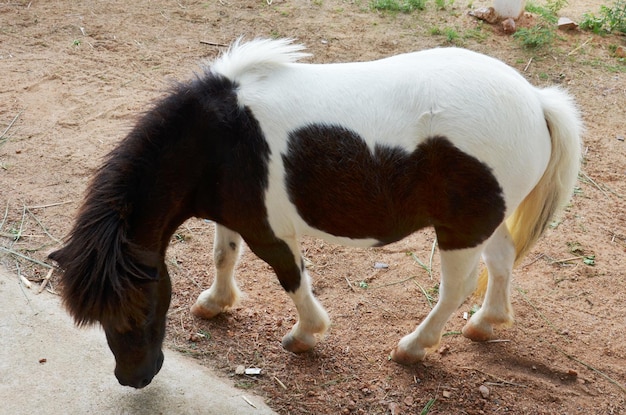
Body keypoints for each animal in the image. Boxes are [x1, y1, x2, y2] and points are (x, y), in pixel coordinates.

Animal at [48, 38, 580, 390]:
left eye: (138, 309)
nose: (133, 378)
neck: (218, 139)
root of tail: (536, 100)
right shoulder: (235, 217)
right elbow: (224, 255)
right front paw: (216, 303)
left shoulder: (270, 232)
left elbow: (291, 278)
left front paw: (305, 334)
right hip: (484, 222)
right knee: (502, 260)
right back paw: (487, 323)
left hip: (459, 231)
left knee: (456, 289)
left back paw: (413, 347)